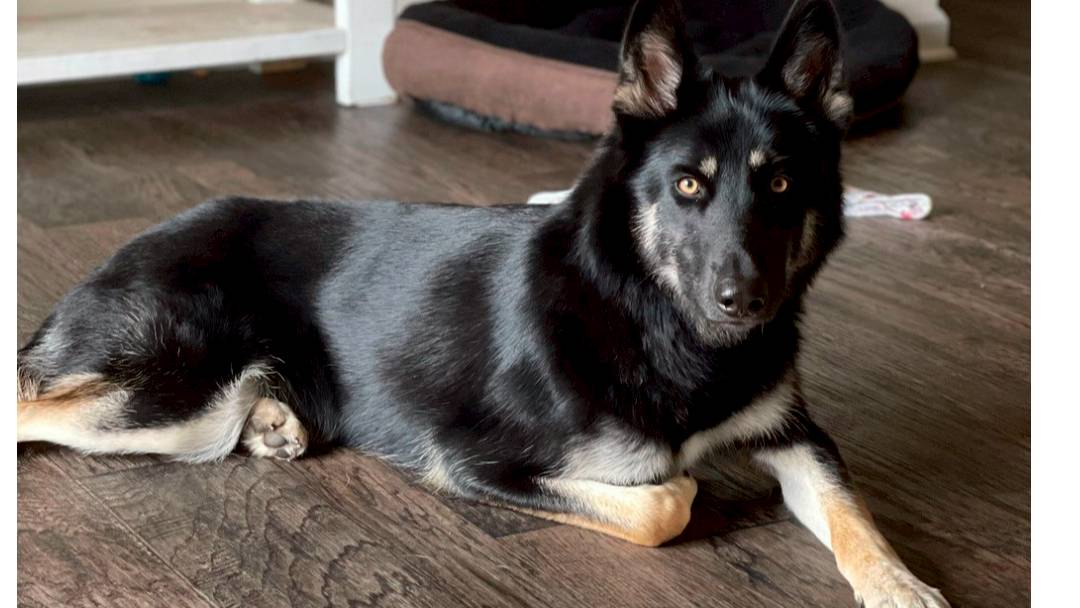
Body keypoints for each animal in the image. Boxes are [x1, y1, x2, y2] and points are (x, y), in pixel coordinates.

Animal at [17, 1, 948, 606]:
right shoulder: (477, 461)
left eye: (782, 184)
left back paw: (277, 420)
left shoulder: (798, 435)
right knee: (32, 405)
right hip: (177, 397)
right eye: (689, 185)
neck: (652, 317)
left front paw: (902, 585)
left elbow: (855, 515)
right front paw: (683, 487)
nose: (745, 301)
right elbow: (666, 502)